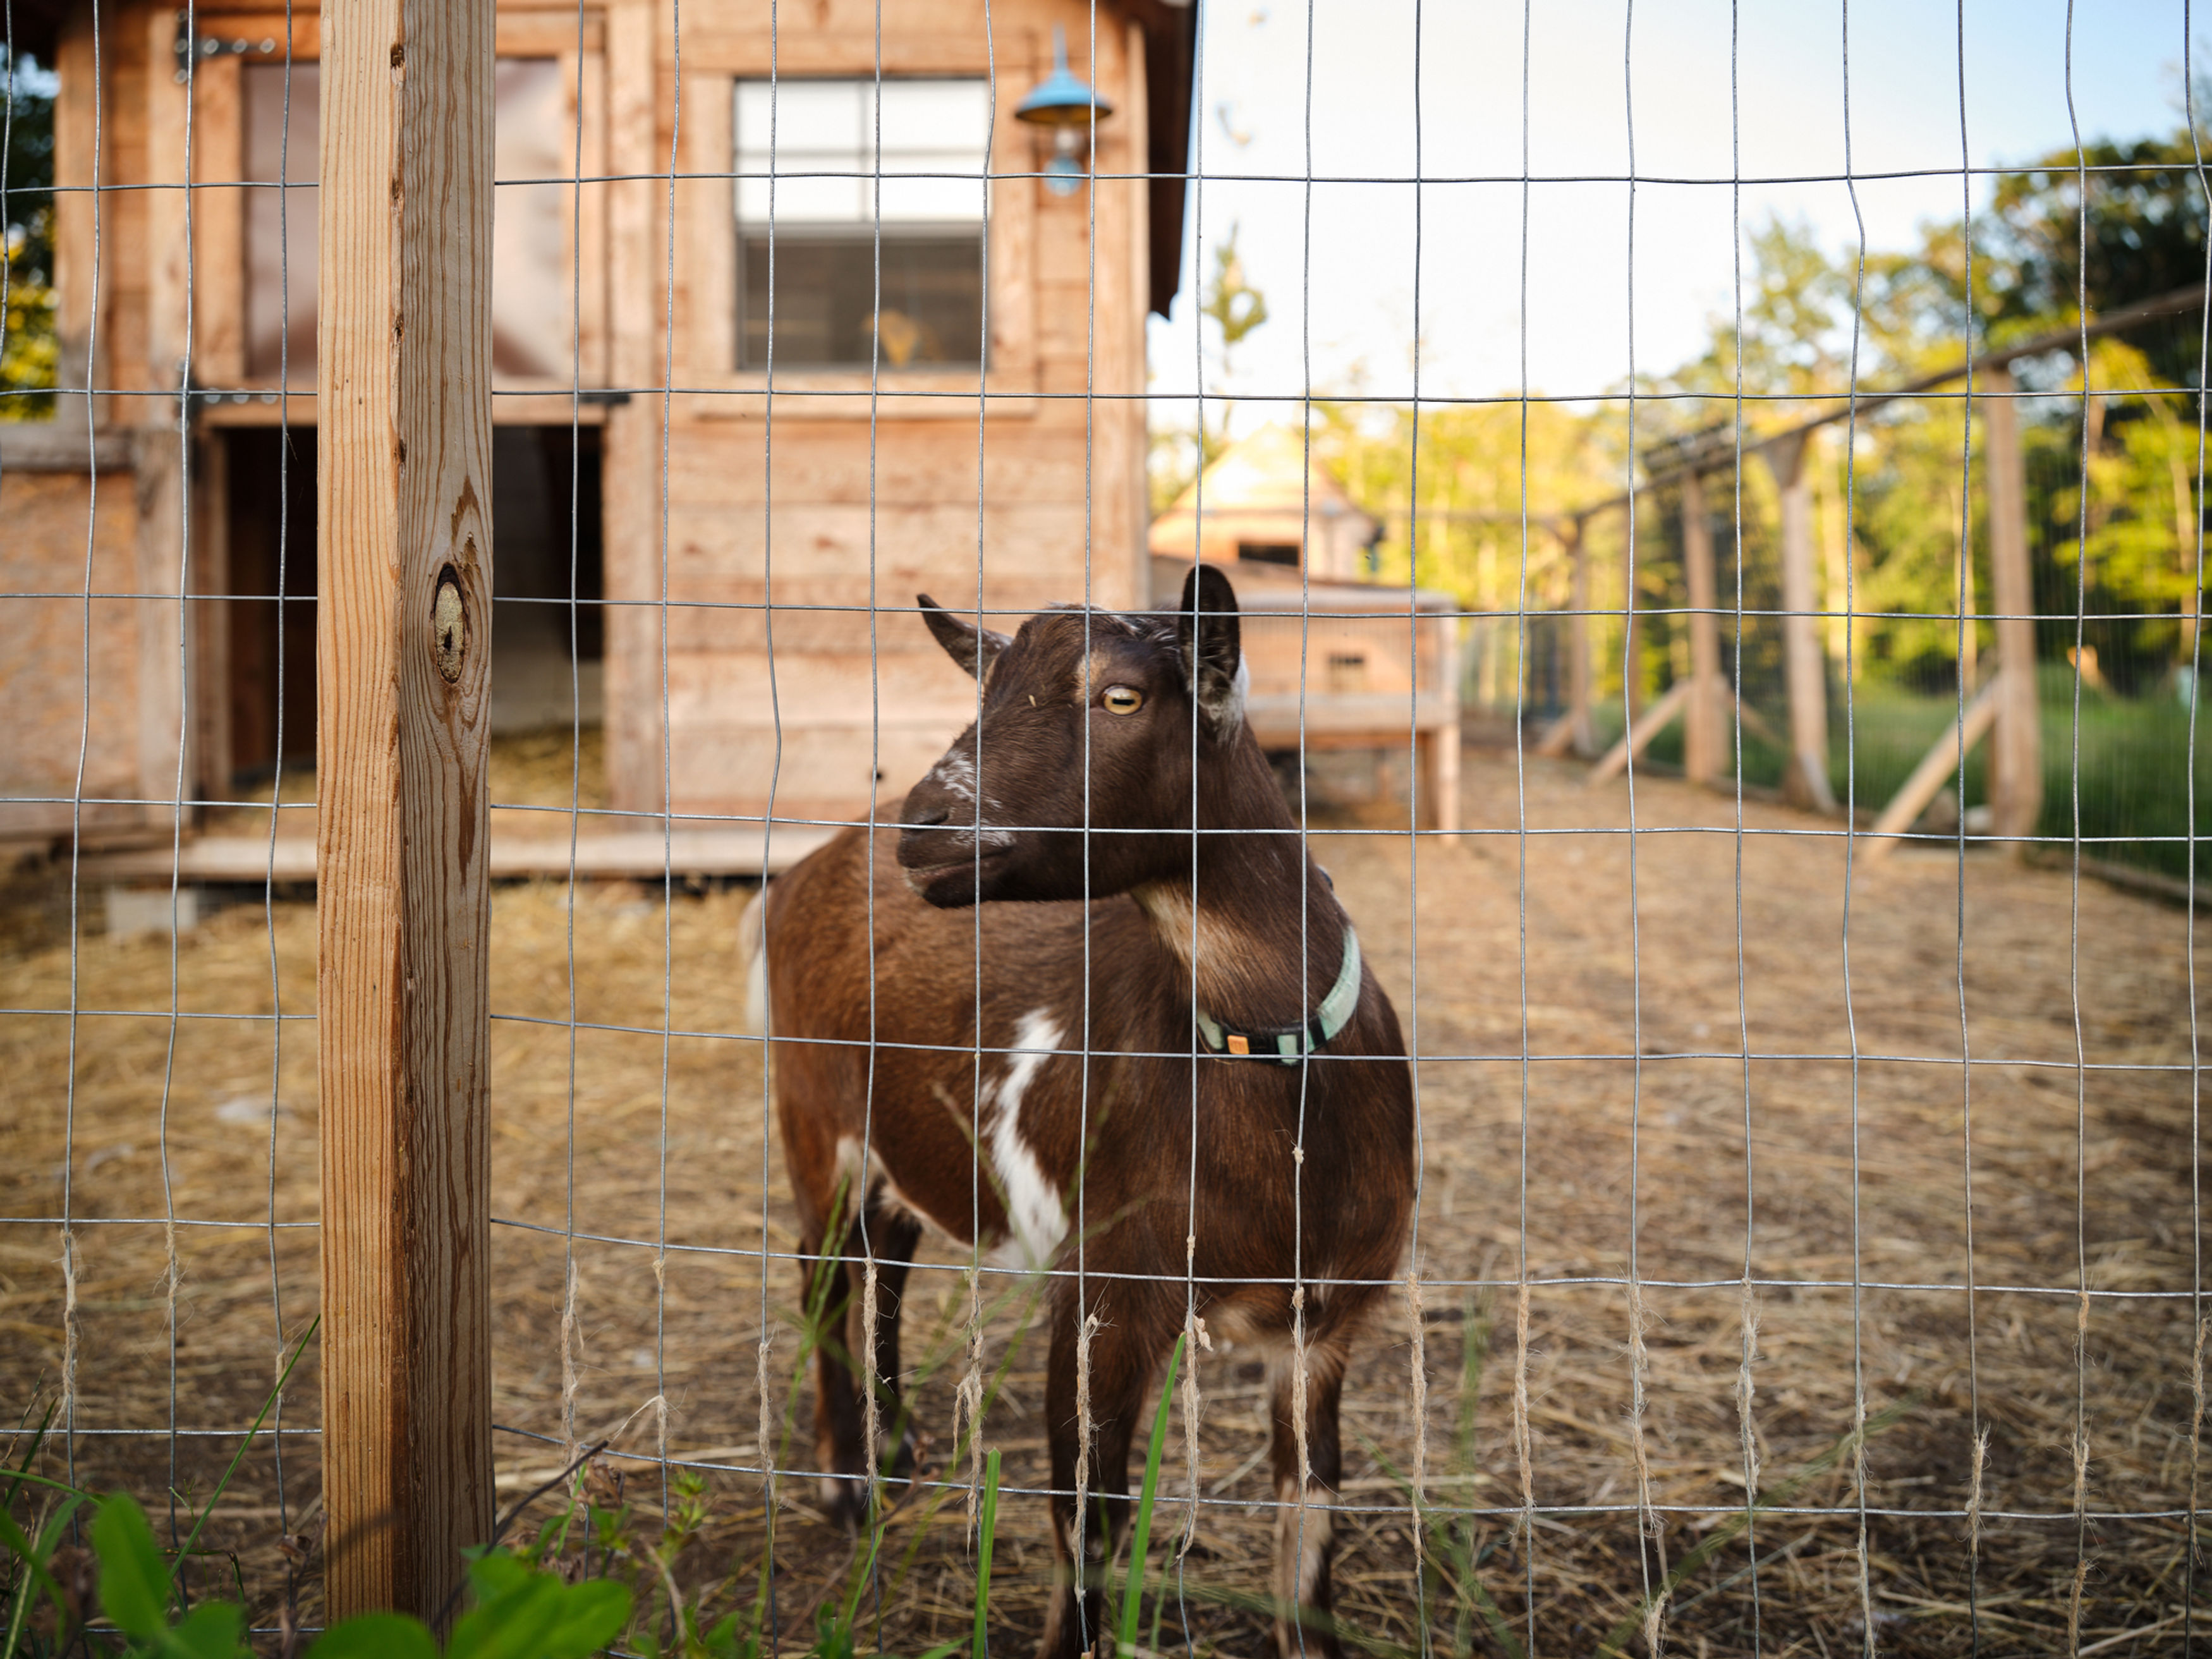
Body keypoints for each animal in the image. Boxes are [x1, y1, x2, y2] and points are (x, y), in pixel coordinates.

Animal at [755, 565, 1415, 1658]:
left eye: (1122, 697)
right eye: (985, 689)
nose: (928, 825)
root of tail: (811, 867)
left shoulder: (1324, 1319)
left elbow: (1312, 1520)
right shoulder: (1102, 1285)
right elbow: (1088, 1517)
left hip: (897, 1135)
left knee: (888, 1256)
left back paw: (898, 1449)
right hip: (812, 1108)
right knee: (823, 1276)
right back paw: (848, 1485)